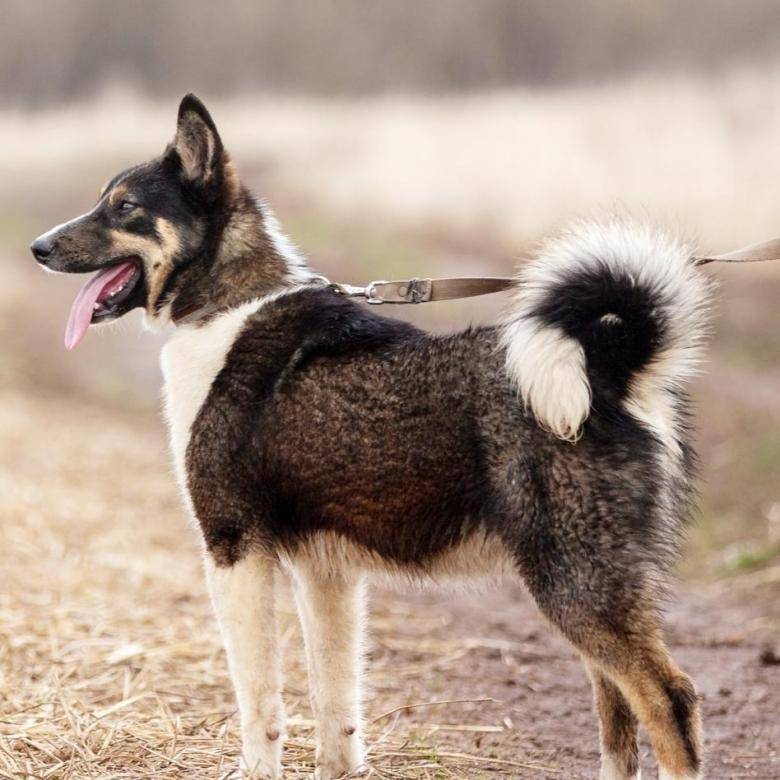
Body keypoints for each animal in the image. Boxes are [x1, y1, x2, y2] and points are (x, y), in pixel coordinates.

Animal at [32, 96, 712, 780]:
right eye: (103, 200)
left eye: (125, 207)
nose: (37, 246)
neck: (229, 306)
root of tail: (608, 367)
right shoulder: (327, 573)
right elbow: (336, 705)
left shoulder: (235, 551)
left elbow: (259, 702)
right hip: (583, 589)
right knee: (618, 714)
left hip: (577, 585)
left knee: (669, 701)